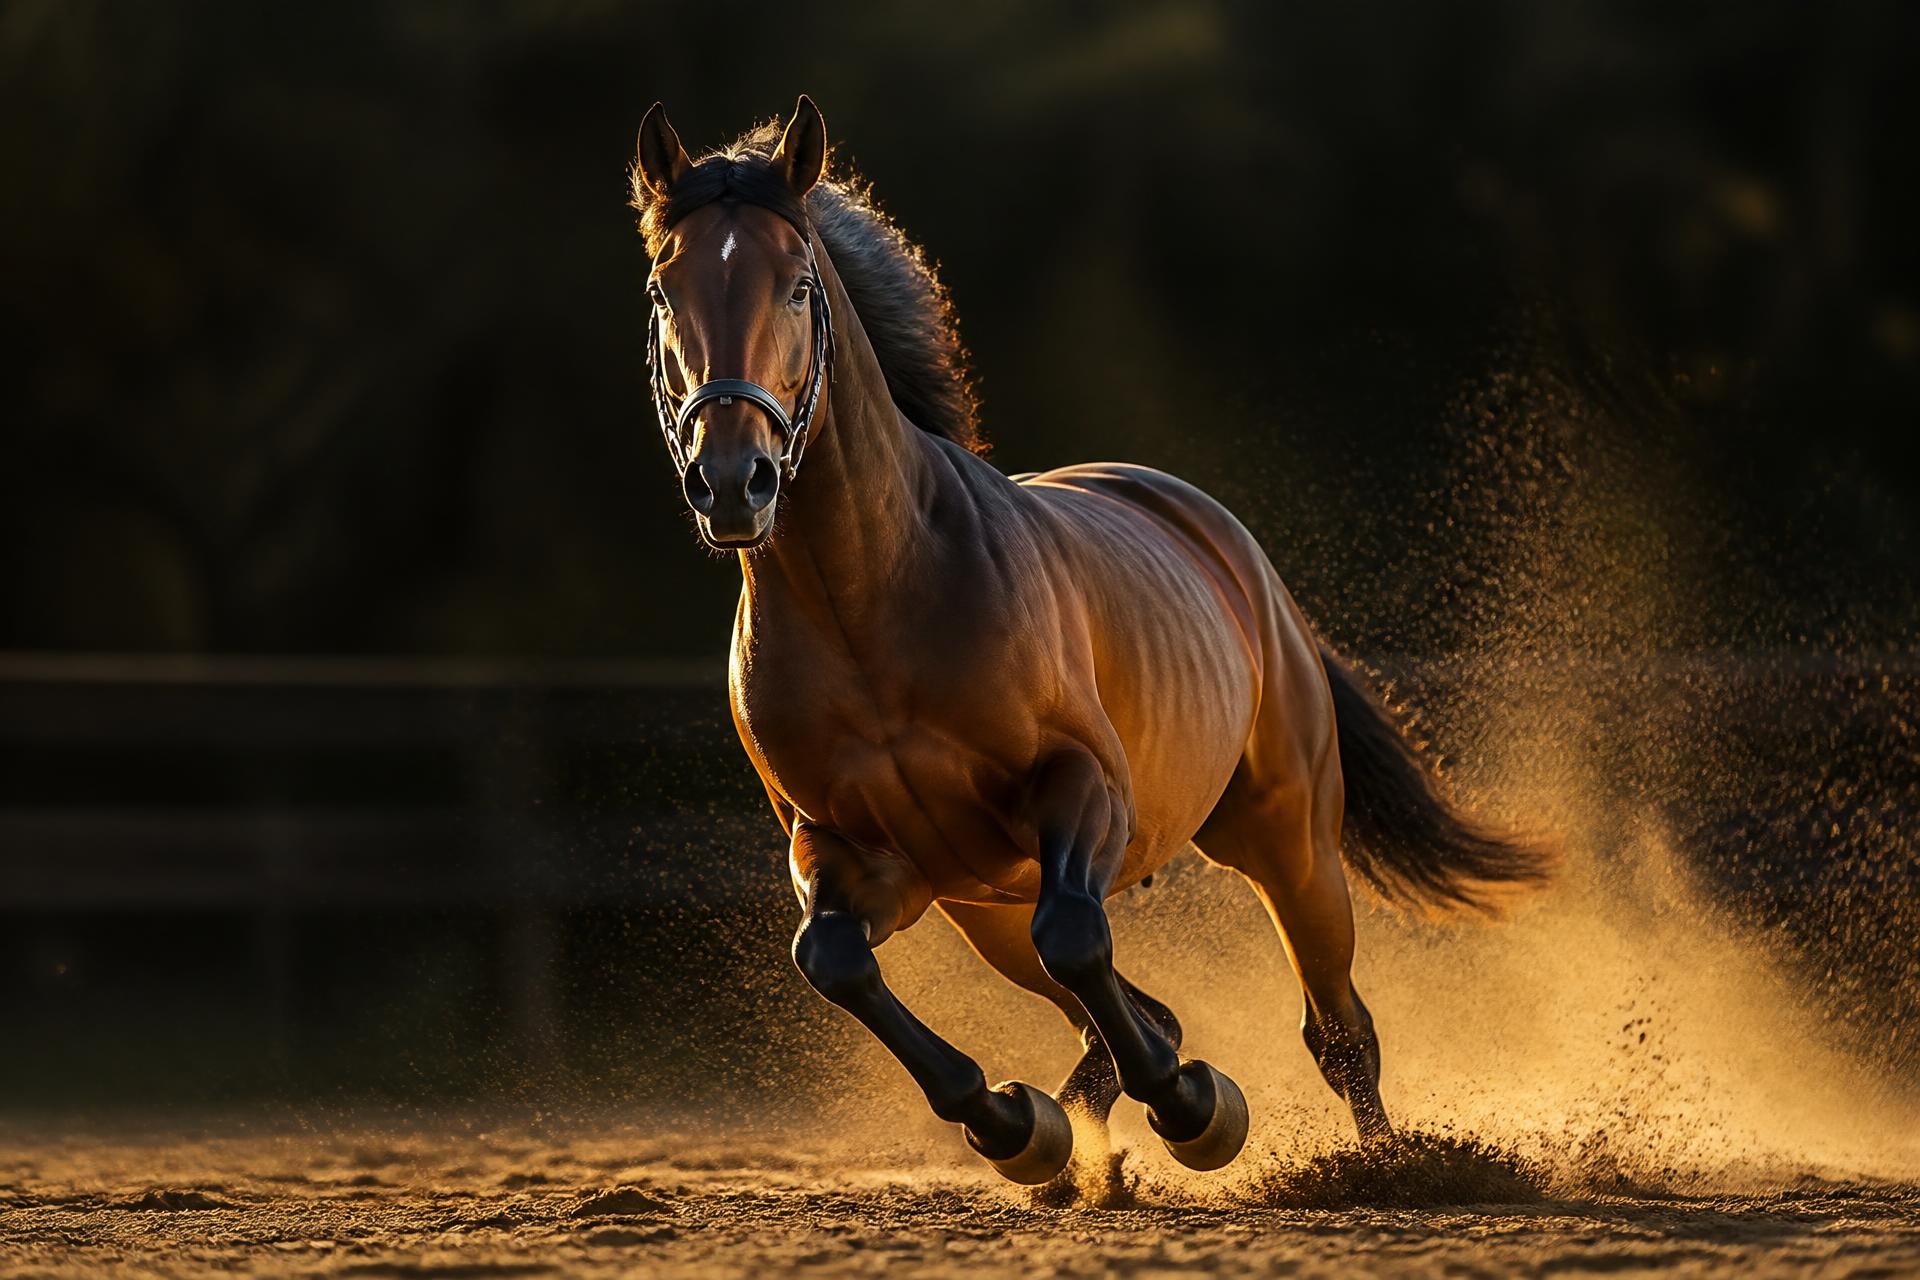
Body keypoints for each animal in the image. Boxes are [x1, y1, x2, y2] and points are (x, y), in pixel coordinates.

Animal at [630, 95, 1546, 1186]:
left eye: (799, 285)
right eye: (662, 290)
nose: (733, 481)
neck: (874, 608)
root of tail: (1218, 535)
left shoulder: (1083, 788)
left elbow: (1077, 936)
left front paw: (1195, 1107)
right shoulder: (854, 850)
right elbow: (835, 960)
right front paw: (1015, 1124)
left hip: (1285, 835)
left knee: (1335, 1028)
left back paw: (1386, 1167)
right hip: (982, 905)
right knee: (1126, 1012)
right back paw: (1075, 1146)